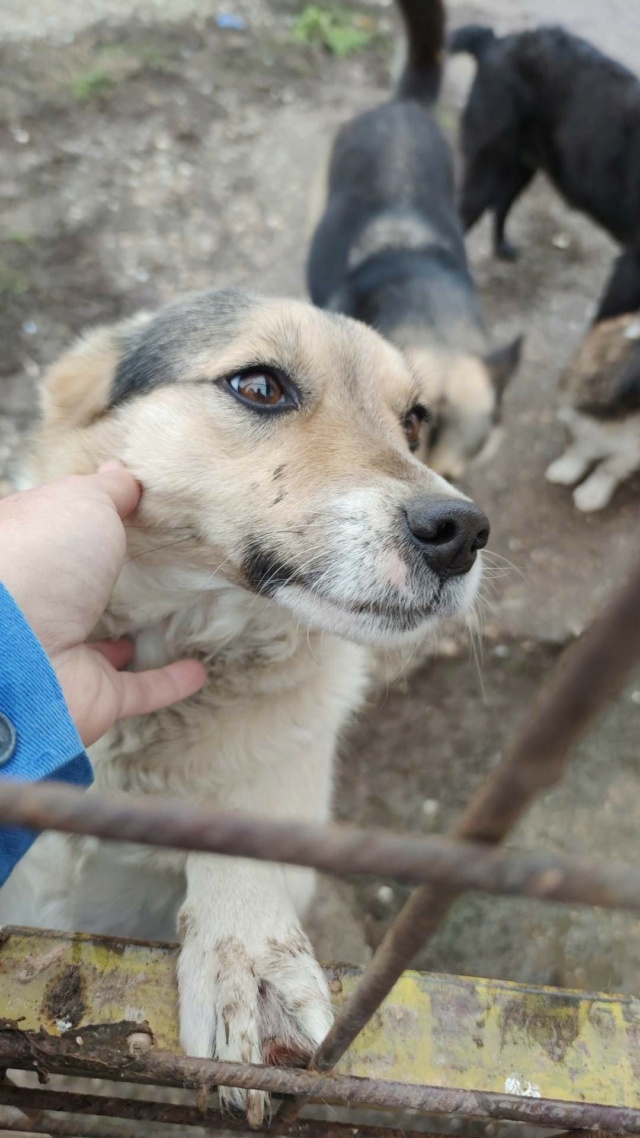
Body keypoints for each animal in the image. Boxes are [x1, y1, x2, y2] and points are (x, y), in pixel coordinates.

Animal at [448, 23, 637, 325]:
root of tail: (493, 42)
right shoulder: (629, 271)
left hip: (520, 167)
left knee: (501, 205)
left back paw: (502, 247)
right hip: (486, 173)